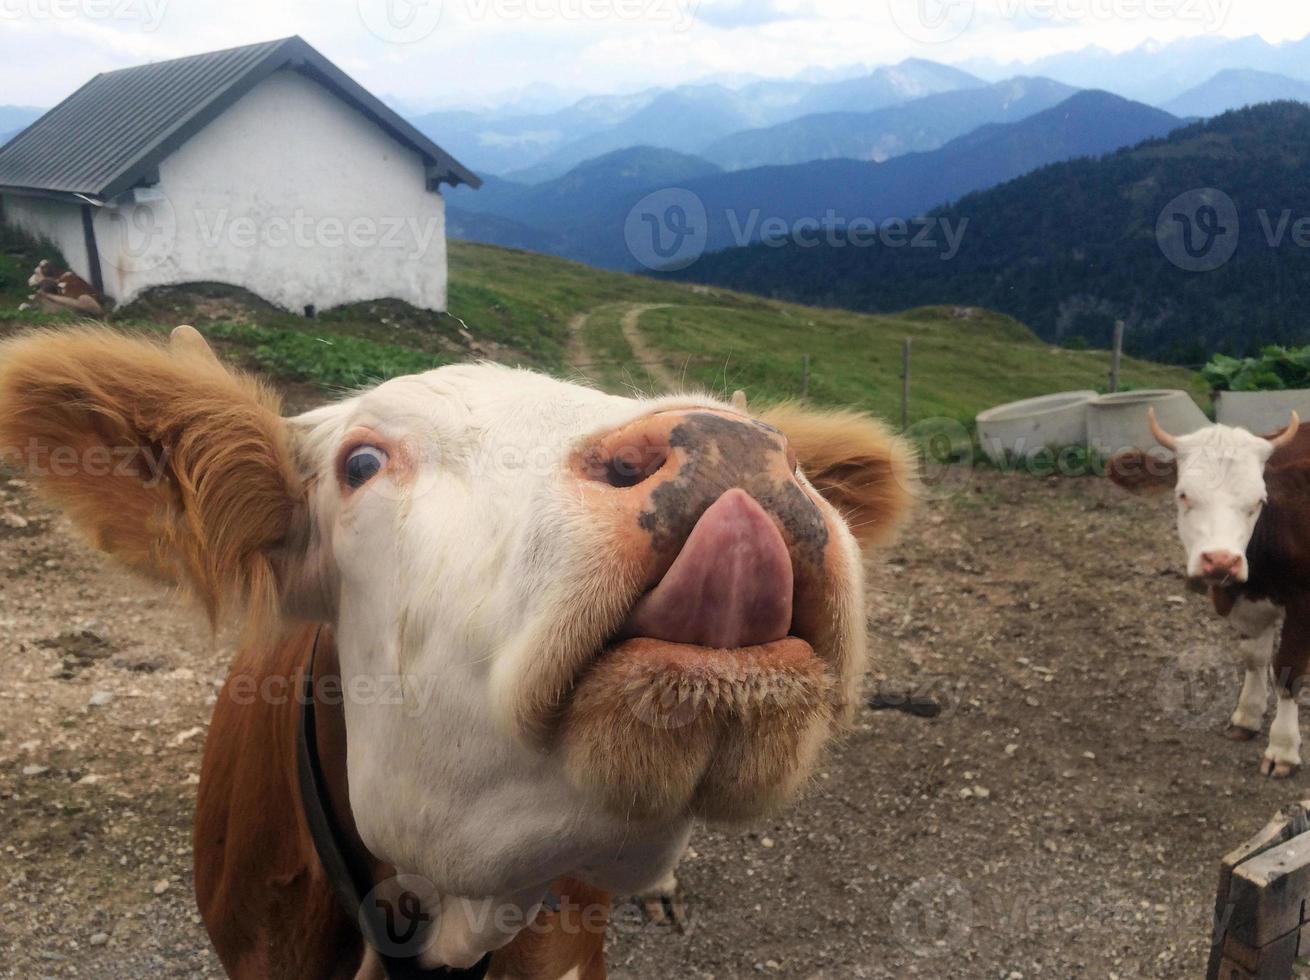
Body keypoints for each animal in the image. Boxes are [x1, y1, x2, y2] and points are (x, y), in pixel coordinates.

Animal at [1110, 408, 1304, 775]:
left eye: (1259, 501)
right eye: (1183, 494)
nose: (1221, 560)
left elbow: (1289, 670)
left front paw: (1283, 747)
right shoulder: (1246, 600)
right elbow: (1255, 657)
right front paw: (1247, 716)